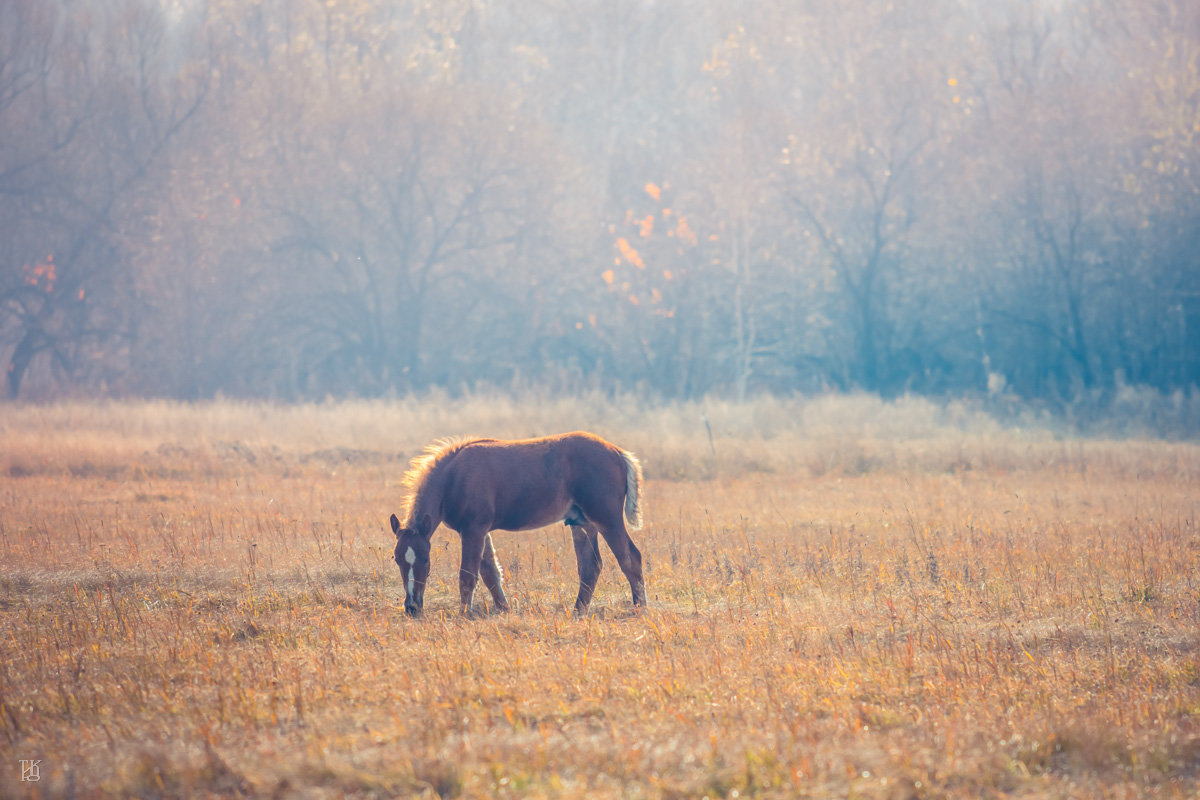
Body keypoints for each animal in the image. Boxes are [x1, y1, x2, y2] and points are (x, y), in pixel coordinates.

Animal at [388, 434, 643, 618]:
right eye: (397, 559)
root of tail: (618, 453)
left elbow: (468, 575)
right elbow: (490, 573)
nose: (412, 607)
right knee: (591, 566)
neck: (454, 478)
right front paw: (505, 609)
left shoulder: (473, 530)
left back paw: (640, 608)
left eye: (426, 559)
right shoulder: (480, 531)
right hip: (582, 523)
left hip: (607, 518)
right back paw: (578, 612)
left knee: (630, 557)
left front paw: (464, 614)